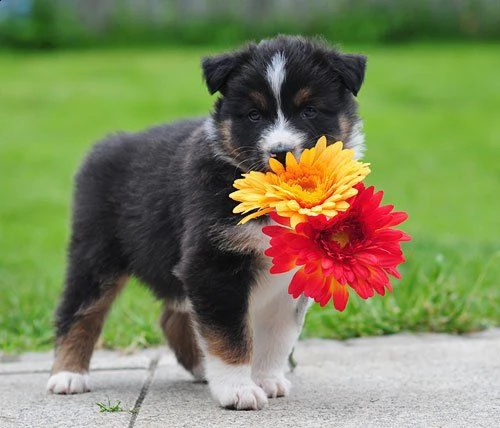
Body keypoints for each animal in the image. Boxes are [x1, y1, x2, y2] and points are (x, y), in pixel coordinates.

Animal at [47, 35, 368, 410]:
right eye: (254, 115)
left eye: (309, 111)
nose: (281, 151)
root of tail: (106, 145)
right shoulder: (214, 262)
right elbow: (230, 334)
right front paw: (238, 390)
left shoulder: (290, 274)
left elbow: (276, 336)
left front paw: (267, 379)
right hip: (95, 252)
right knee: (80, 310)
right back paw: (68, 375)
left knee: (172, 315)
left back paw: (202, 368)